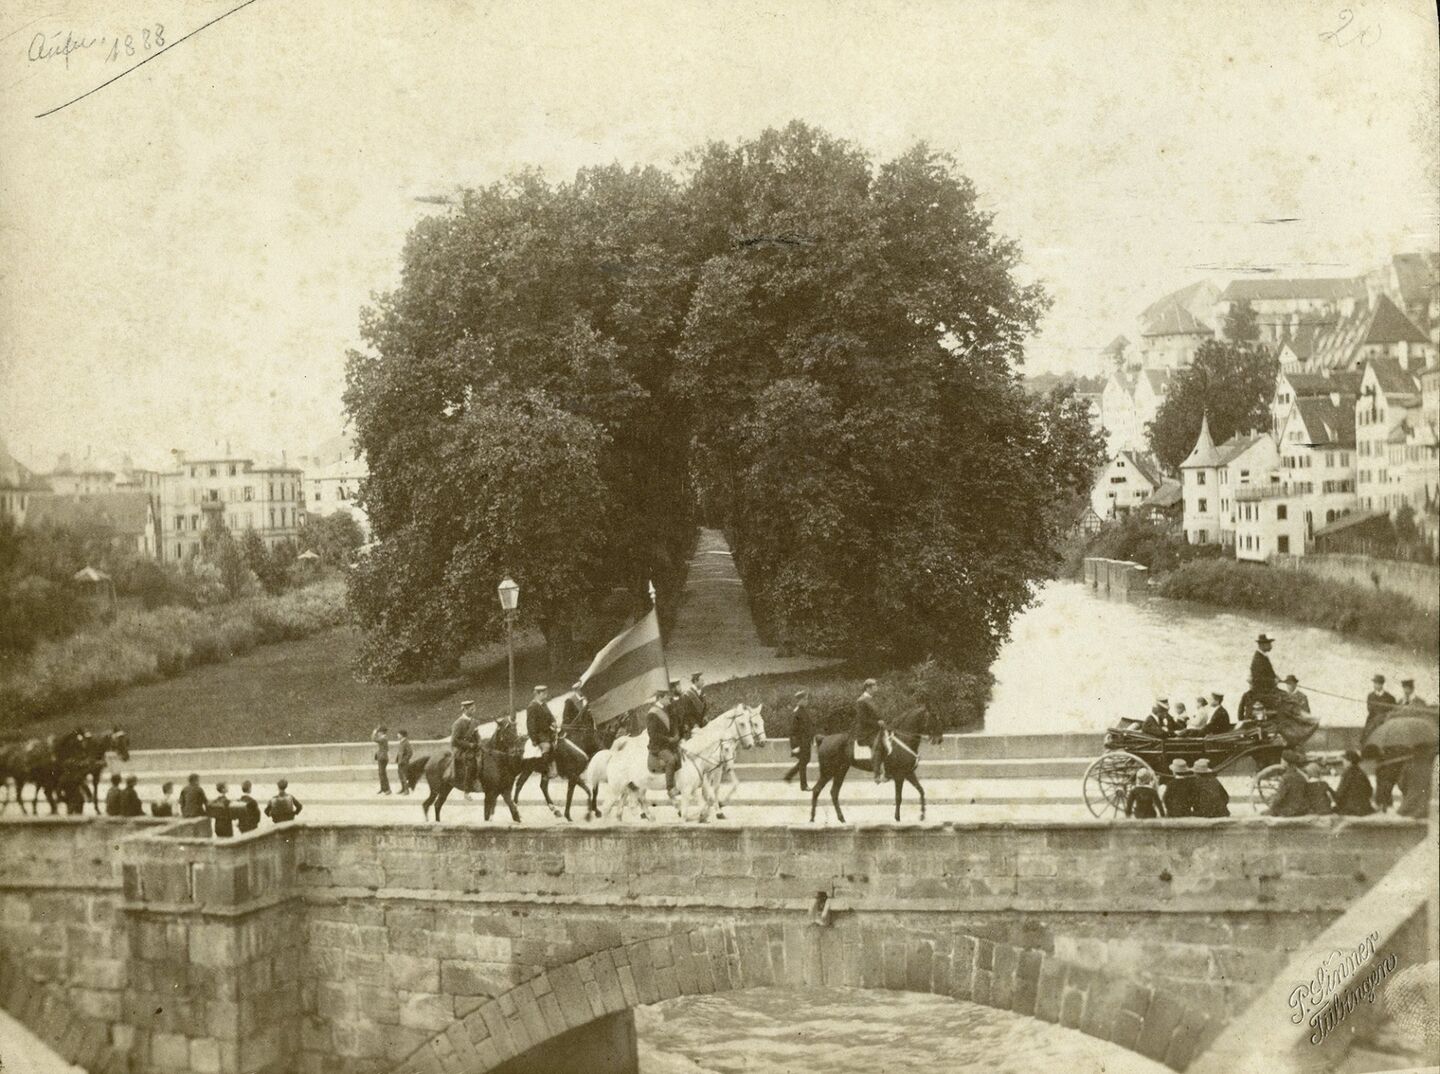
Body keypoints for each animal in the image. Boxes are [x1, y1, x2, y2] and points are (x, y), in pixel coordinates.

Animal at [603, 704, 764, 822]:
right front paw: (716, 810)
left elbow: (724, 786)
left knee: (629, 793)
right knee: (634, 794)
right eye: (746, 724)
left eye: (756, 723)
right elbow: (713, 790)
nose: (753, 744)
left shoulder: (712, 770)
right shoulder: (712, 770)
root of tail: (628, 741)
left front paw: (712, 809)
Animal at [809, 706, 945, 823]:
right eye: (934, 718)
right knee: (817, 789)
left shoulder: (908, 773)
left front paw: (922, 815)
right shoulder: (900, 776)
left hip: (840, 771)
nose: (940, 739)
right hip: (828, 772)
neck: (903, 741)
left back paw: (841, 819)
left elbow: (921, 790)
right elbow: (898, 797)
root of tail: (824, 739)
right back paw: (812, 818)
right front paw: (898, 819)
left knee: (834, 792)